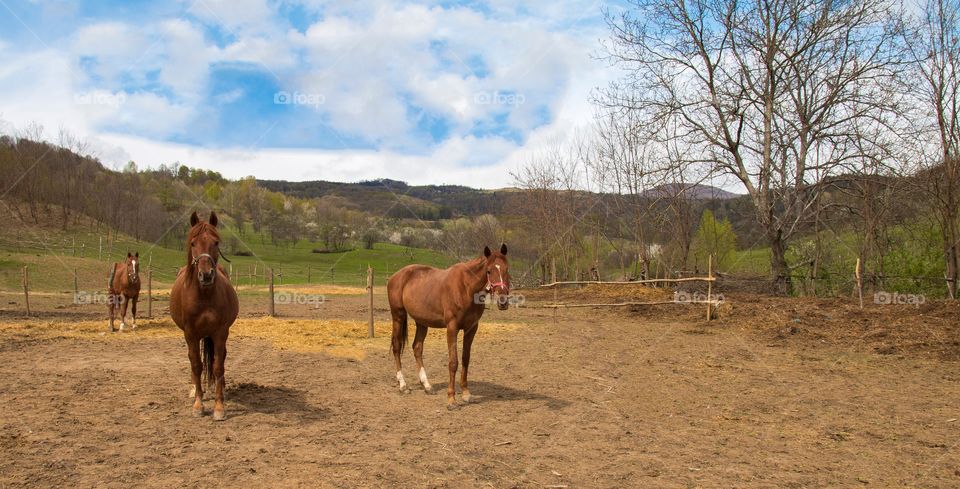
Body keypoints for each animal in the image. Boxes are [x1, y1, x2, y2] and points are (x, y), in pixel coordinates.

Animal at [169, 210, 238, 420]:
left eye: (216, 242)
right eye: (193, 243)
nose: (206, 275)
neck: (204, 295)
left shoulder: (220, 333)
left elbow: (217, 365)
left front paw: (219, 407)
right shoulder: (191, 333)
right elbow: (197, 365)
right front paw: (198, 405)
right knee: (193, 360)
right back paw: (193, 389)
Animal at [388, 243, 512, 408]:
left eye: (507, 269)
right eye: (489, 271)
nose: (503, 302)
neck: (466, 287)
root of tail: (396, 276)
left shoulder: (471, 328)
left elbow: (466, 359)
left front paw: (466, 394)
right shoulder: (452, 328)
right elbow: (453, 362)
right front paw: (451, 399)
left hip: (422, 322)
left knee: (417, 348)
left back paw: (427, 386)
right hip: (398, 316)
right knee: (396, 346)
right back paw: (403, 385)